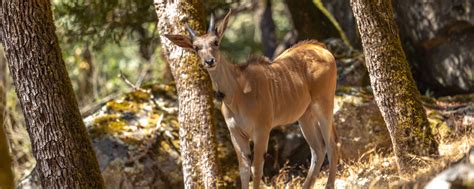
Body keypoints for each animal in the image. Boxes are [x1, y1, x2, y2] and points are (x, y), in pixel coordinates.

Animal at [165, 10, 338, 189]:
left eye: (216, 42)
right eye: (196, 47)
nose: (209, 61)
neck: (237, 94)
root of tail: (321, 48)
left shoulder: (261, 130)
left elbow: (256, 170)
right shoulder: (236, 134)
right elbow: (244, 170)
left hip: (324, 103)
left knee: (332, 144)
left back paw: (329, 184)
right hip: (305, 115)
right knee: (318, 149)